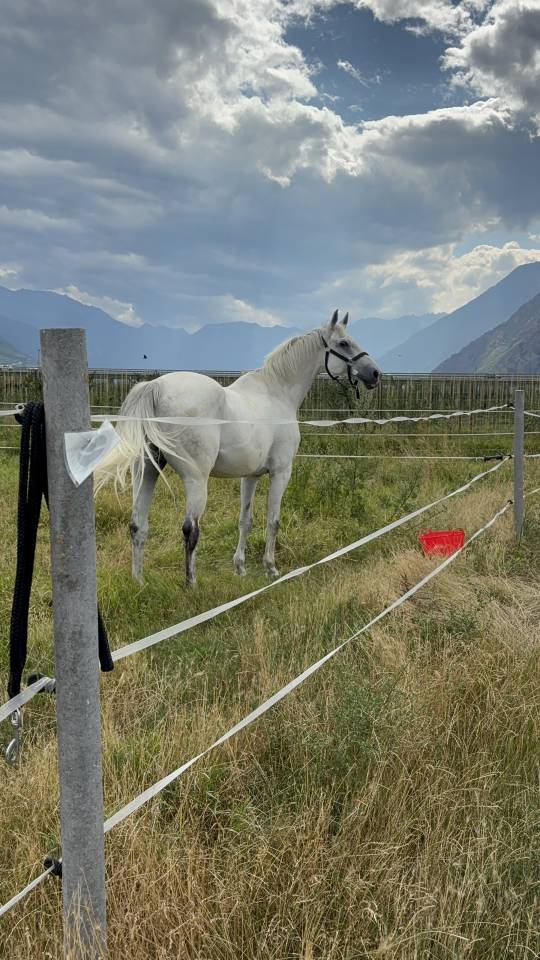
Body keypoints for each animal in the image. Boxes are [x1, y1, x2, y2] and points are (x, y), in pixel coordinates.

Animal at [96, 310, 381, 586]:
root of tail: (154, 386)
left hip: (147, 471)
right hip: (195, 479)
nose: (375, 373)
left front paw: (240, 568)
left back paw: (139, 581)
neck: (277, 394)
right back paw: (191, 584)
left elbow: (246, 521)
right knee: (190, 529)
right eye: (343, 343)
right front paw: (271, 568)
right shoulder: (281, 473)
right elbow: (273, 521)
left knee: (138, 525)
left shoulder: (250, 476)